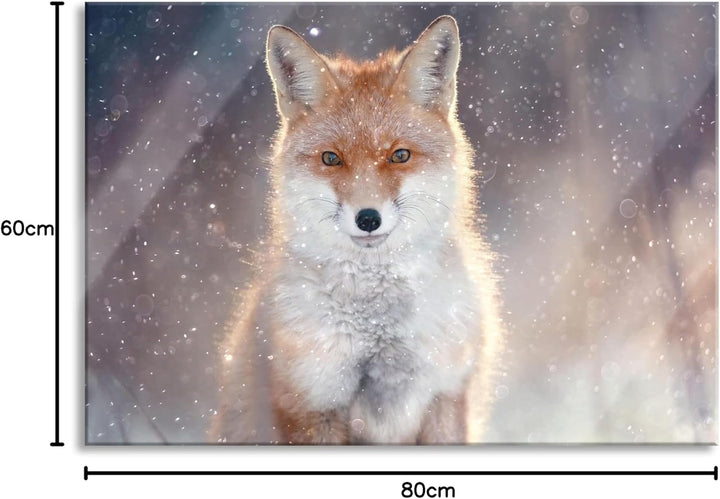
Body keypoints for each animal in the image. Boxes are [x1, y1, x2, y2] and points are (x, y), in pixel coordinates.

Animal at [210, 15, 504, 444]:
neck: (379, 328)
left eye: (399, 155)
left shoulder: (446, 393)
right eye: (331, 159)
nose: (368, 219)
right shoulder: (312, 402)